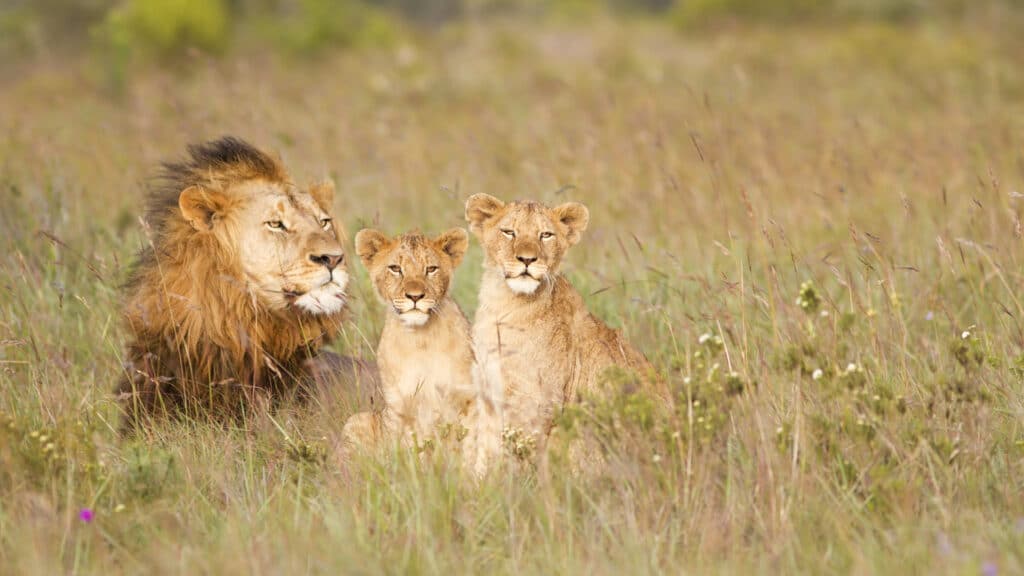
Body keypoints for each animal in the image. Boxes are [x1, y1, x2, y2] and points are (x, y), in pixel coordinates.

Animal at [342, 228, 477, 452]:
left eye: (431, 269)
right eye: (396, 268)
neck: (420, 340)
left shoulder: (468, 399)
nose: (415, 296)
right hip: (356, 419)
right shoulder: (398, 408)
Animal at [465, 193, 657, 464]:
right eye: (509, 232)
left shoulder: (536, 404)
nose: (527, 259)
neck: (503, 302)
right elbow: (484, 457)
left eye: (545, 235)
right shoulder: (490, 398)